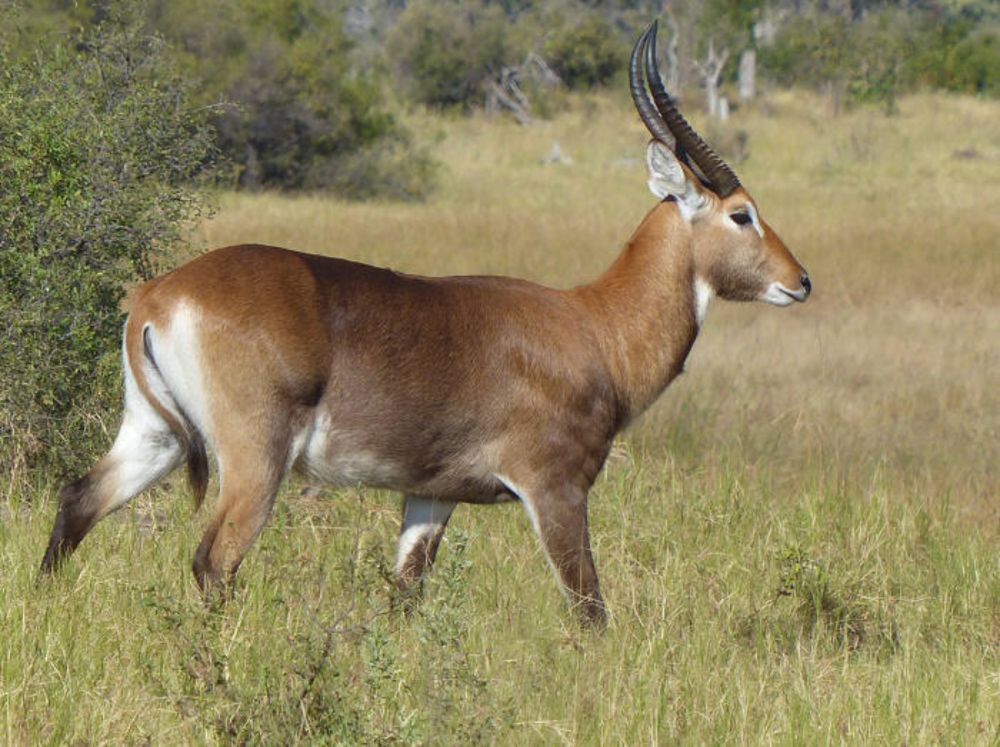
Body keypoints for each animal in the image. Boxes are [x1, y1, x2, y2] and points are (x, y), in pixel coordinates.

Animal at [41, 23, 812, 628]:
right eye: (741, 211)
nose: (800, 280)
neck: (594, 326)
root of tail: (157, 294)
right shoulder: (554, 488)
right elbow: (590, 606)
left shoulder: (431, 494)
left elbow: (404, 596)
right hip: (254, 461)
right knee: (212, 559)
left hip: (154, 436)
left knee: (78, 500)